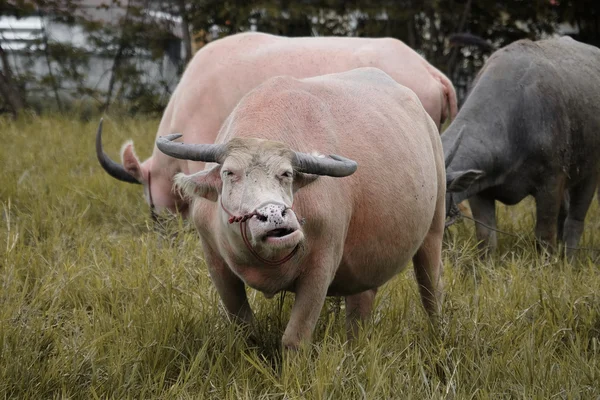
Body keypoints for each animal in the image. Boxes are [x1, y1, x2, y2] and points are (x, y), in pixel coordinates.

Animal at [156, 68, 450, 346]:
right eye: (229, 173)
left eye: (287, 174)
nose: (275, 216)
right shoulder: (217, 265)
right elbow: (245, 330)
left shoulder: (320, 267)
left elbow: (294, 339)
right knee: (361, 305)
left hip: (434, 231)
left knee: (430, 289)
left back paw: (438, 334)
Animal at [442, 37, 600, 256]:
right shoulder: (480, 189)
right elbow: (486, 237)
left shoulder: (551, 182)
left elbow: (544, 235)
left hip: (589, 172)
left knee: (575, 220)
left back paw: (569, 258)